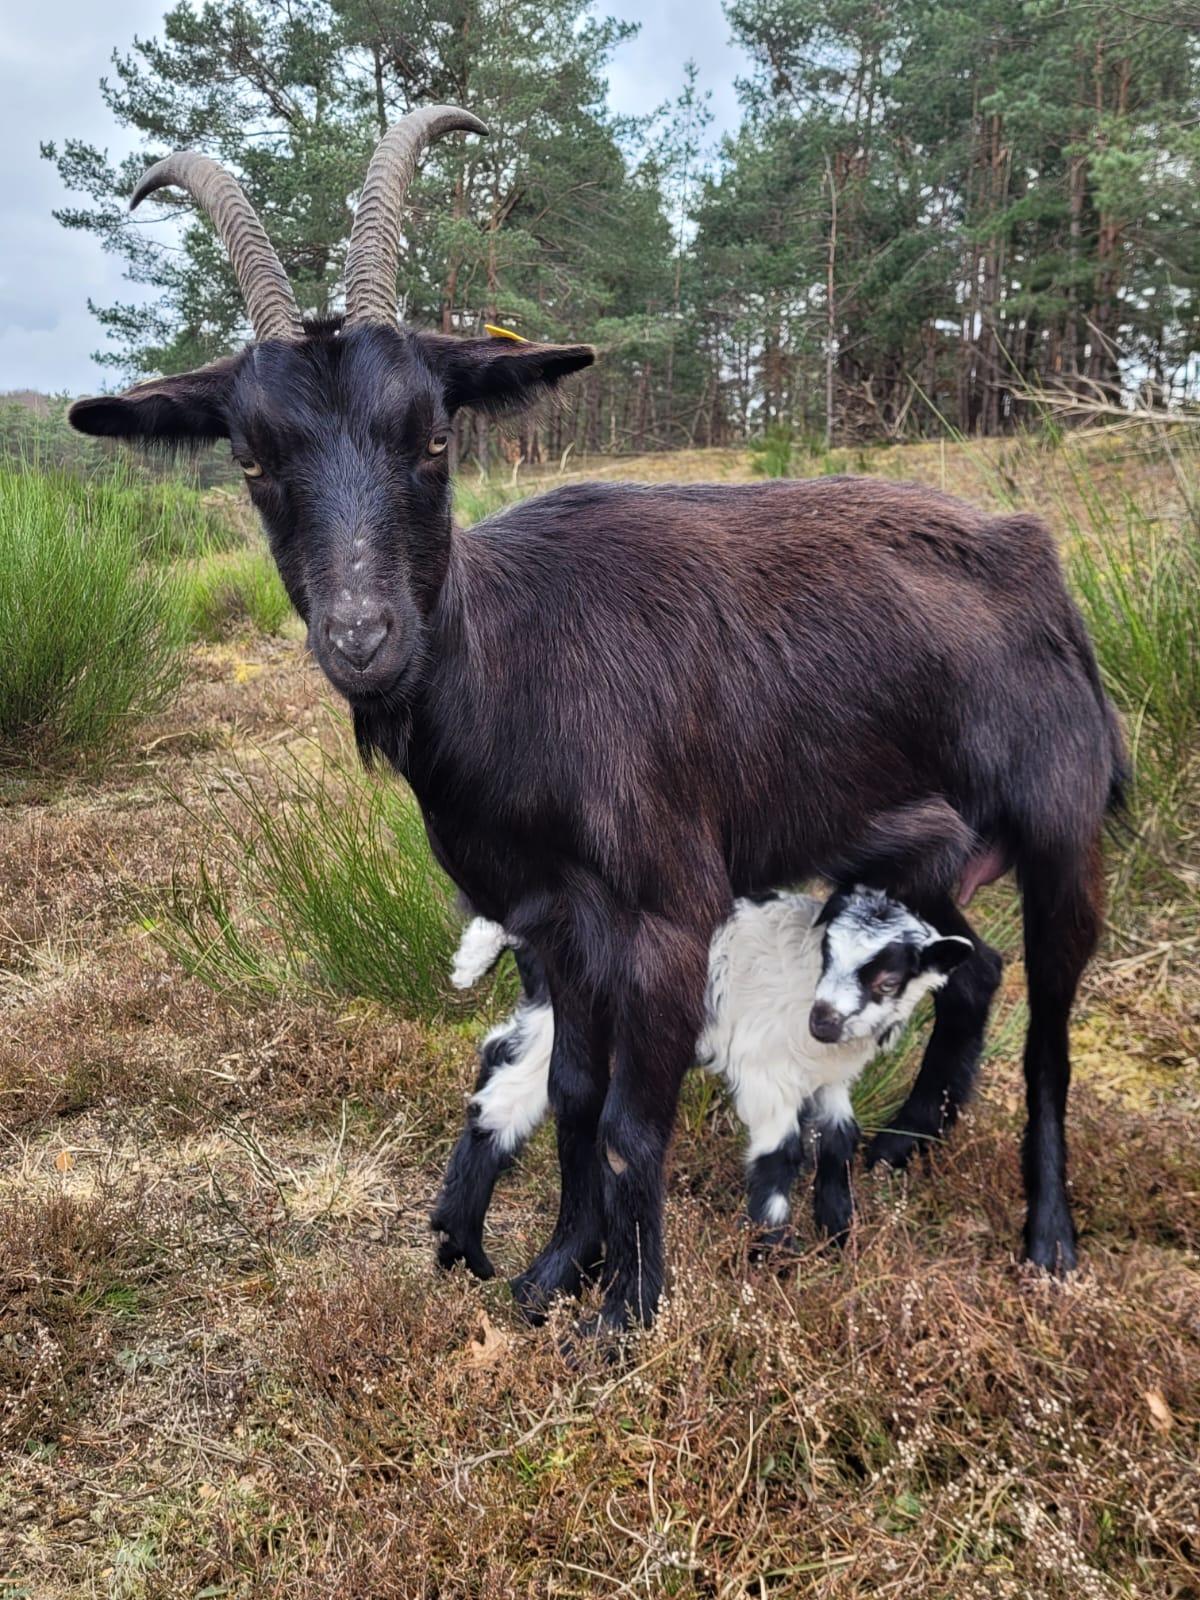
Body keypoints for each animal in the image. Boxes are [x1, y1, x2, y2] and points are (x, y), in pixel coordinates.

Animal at [434, 887, 974, 1278]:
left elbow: (842, 1137)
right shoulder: (765, 1071)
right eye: (828, 955)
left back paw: (457, 1247)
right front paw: (772, 1257)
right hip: (567, 1014)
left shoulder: (828, 1079)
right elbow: (781, 1155)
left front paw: (839, 1232)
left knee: (498, 1067)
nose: (823, 1021)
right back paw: (465, 1248)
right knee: (506, 1096)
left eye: (888, 980)